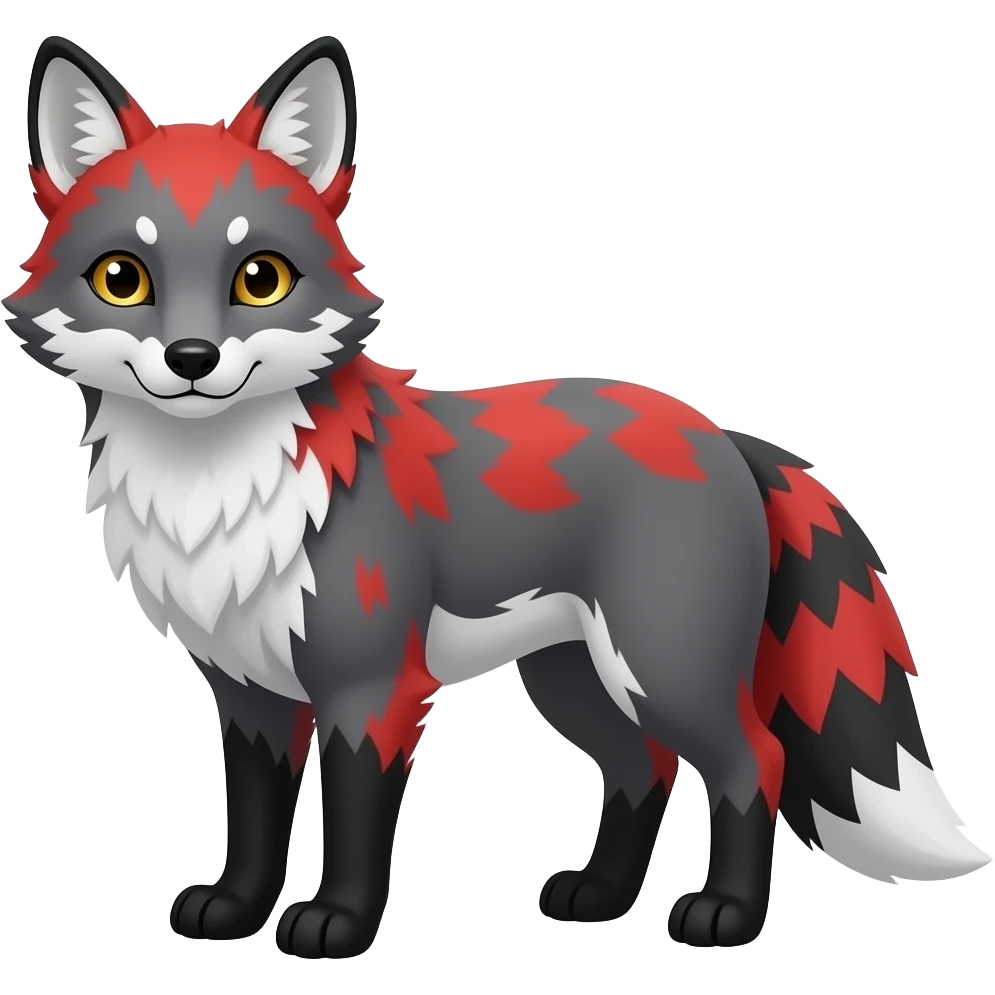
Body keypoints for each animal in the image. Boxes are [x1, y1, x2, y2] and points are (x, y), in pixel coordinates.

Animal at [5, 32, 990, 959]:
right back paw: (599, 897)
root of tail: (720, 433)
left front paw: (337, 922)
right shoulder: (249, 689)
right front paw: (236, 909)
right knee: (644, 768)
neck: (220, 492)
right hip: (574, 677)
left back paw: (725, 915)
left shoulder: (371, 687)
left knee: (754, 759)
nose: (193, 359)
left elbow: (354, 821)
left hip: (661, 664)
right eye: (123, 278)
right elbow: (252, 820)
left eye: (260, 278)